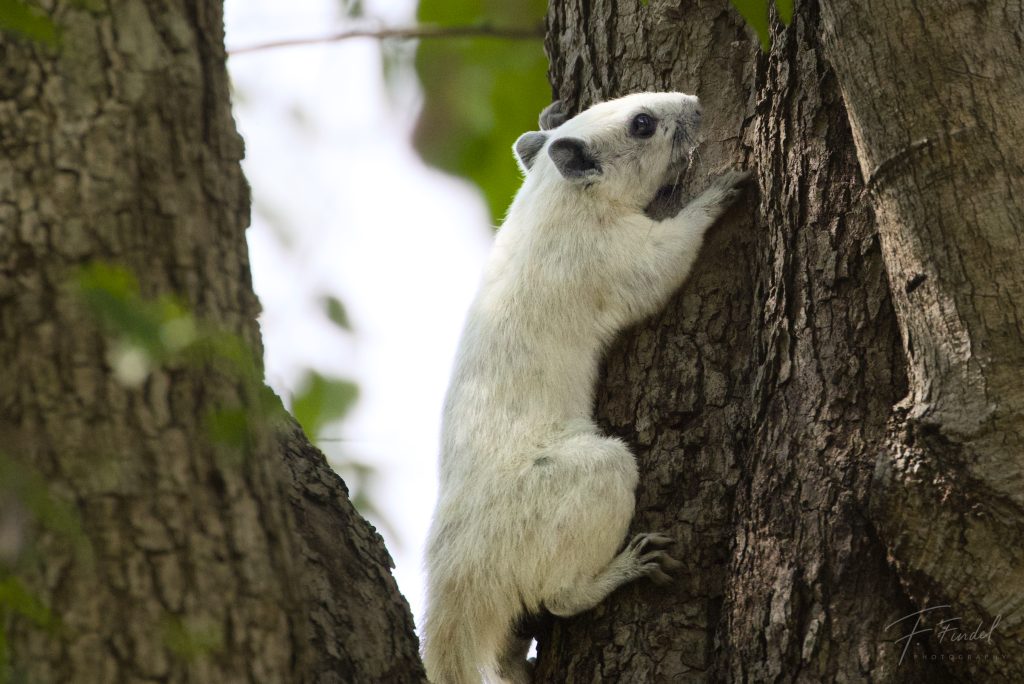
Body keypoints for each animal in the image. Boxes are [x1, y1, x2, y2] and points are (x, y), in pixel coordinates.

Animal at [422, 92, 750, 684]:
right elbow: (663, 263)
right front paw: (716, 195)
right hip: (590, 476)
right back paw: (625, 569)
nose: (695, 103)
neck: (552, 201)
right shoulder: (607, 260)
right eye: (641, 123)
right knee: (558, 597)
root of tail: (456, 574)